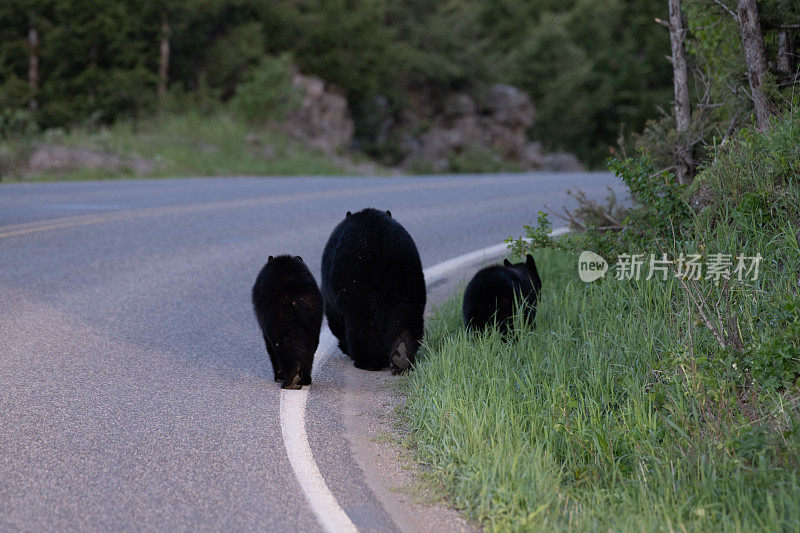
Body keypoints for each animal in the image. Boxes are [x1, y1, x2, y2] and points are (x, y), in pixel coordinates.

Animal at [252, 254, 324, 386]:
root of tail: (297, 298)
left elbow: (270, 346)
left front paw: (278, 376)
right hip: (313, 318)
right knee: (310, 348)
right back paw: (305, 379)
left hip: (278, 319)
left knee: (282, 347)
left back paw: (290, 379)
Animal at [322, 208, 428, 374]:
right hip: (409, 282)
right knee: (406, 314)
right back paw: (402, 354)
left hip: (357, 287)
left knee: (362, 325)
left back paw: (368, 361)